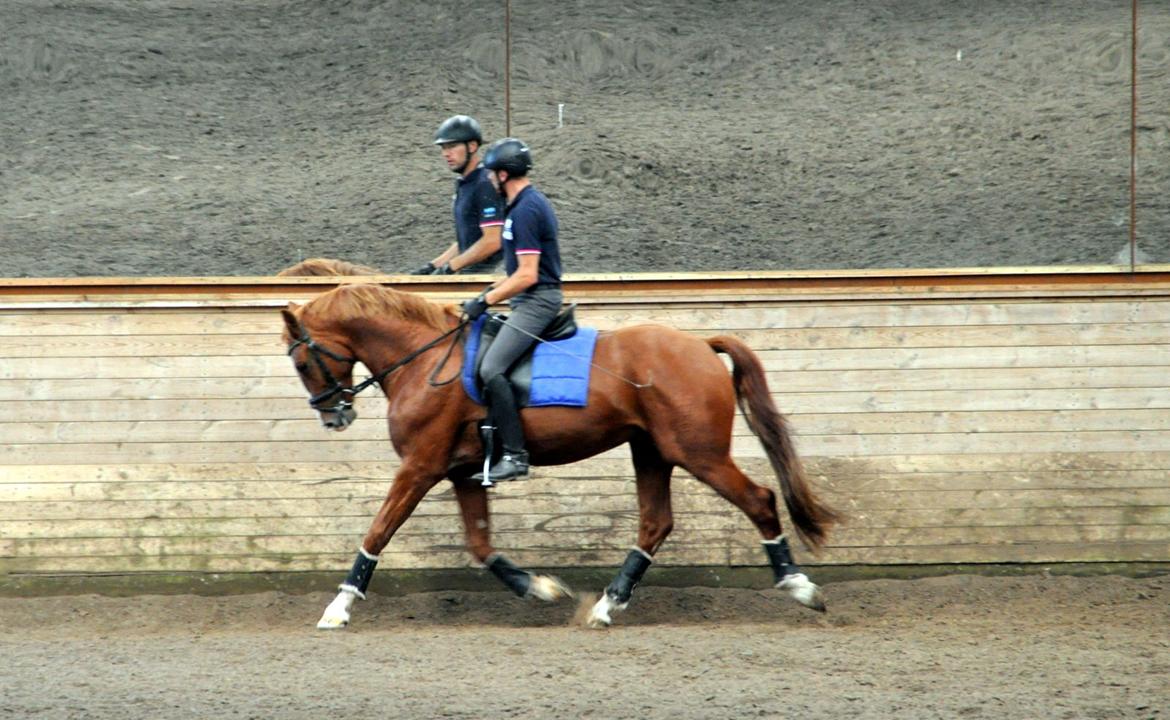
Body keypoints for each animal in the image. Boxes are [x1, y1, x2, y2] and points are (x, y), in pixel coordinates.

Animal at [278, 283, 837, 632]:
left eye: (303, 361)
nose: (333, 416)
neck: (424, 359)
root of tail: (699, 344)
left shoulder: (420, 466)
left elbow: (377, 533)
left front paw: (338, 608)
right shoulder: (462, 472)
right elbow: (480, 545)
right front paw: (540, 588)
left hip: (699, 453)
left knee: (760, 500)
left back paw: (801, 588)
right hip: (651, 451)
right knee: (655, 523)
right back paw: (607, 606)